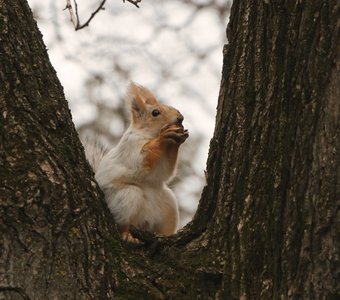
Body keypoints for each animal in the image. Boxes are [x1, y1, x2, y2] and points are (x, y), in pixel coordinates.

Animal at [82, 83, 189, 243]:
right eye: (155, 113)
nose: (180, 118)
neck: (149, 135)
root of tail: (144, 222)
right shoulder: (131, 147)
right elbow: (141, 160)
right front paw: (165, 137)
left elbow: (165, 171)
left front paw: (178, 138)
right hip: (126, 197)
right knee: (123, 224)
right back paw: (127, 235)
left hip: (169, 205)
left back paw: (165, 236)